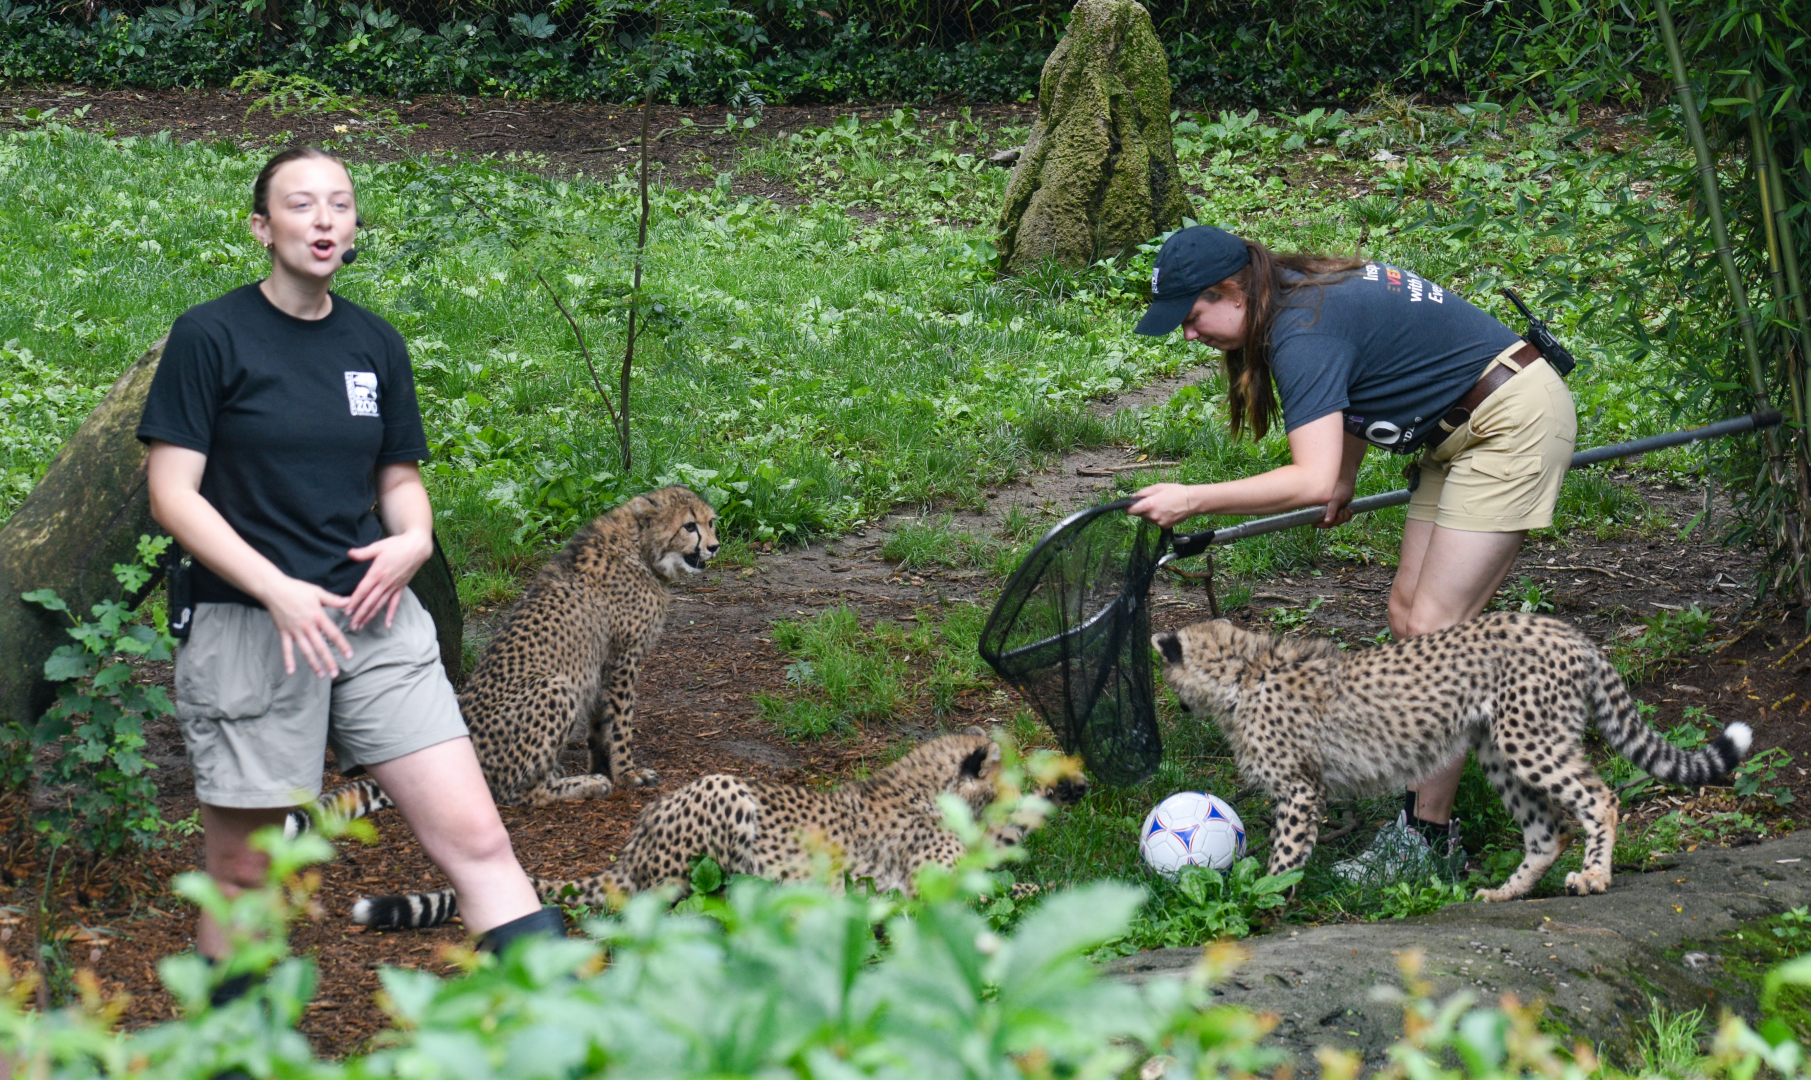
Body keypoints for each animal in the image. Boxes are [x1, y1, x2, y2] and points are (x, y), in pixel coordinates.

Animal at [285, 486, 718, 840]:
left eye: (711, 522)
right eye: (689, 526)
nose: (714, 547)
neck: (640, 547)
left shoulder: (601, 664)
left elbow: (601, 724)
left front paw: (604, 764)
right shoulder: (623, 658)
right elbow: (621, 723)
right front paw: (626, 774)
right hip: (554, 686)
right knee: (515, 793)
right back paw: (583, 786)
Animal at [349, 732, 1087, 928]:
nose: (1076, 785)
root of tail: (632, 841)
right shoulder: (932, 890)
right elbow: (1020, 891)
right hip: (724, 790)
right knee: (655, 899)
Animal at [1153, 611, 1751, 902]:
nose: (1174, 705)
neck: (1243, 673)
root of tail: (1569, 632)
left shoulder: (1301, 790)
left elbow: (1285, 858)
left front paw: (1263, 901)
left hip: (1529, 740)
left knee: (1598, 798)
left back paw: (1593, 877)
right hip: (1497, 749)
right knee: (1548, 830)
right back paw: (1506, 892)